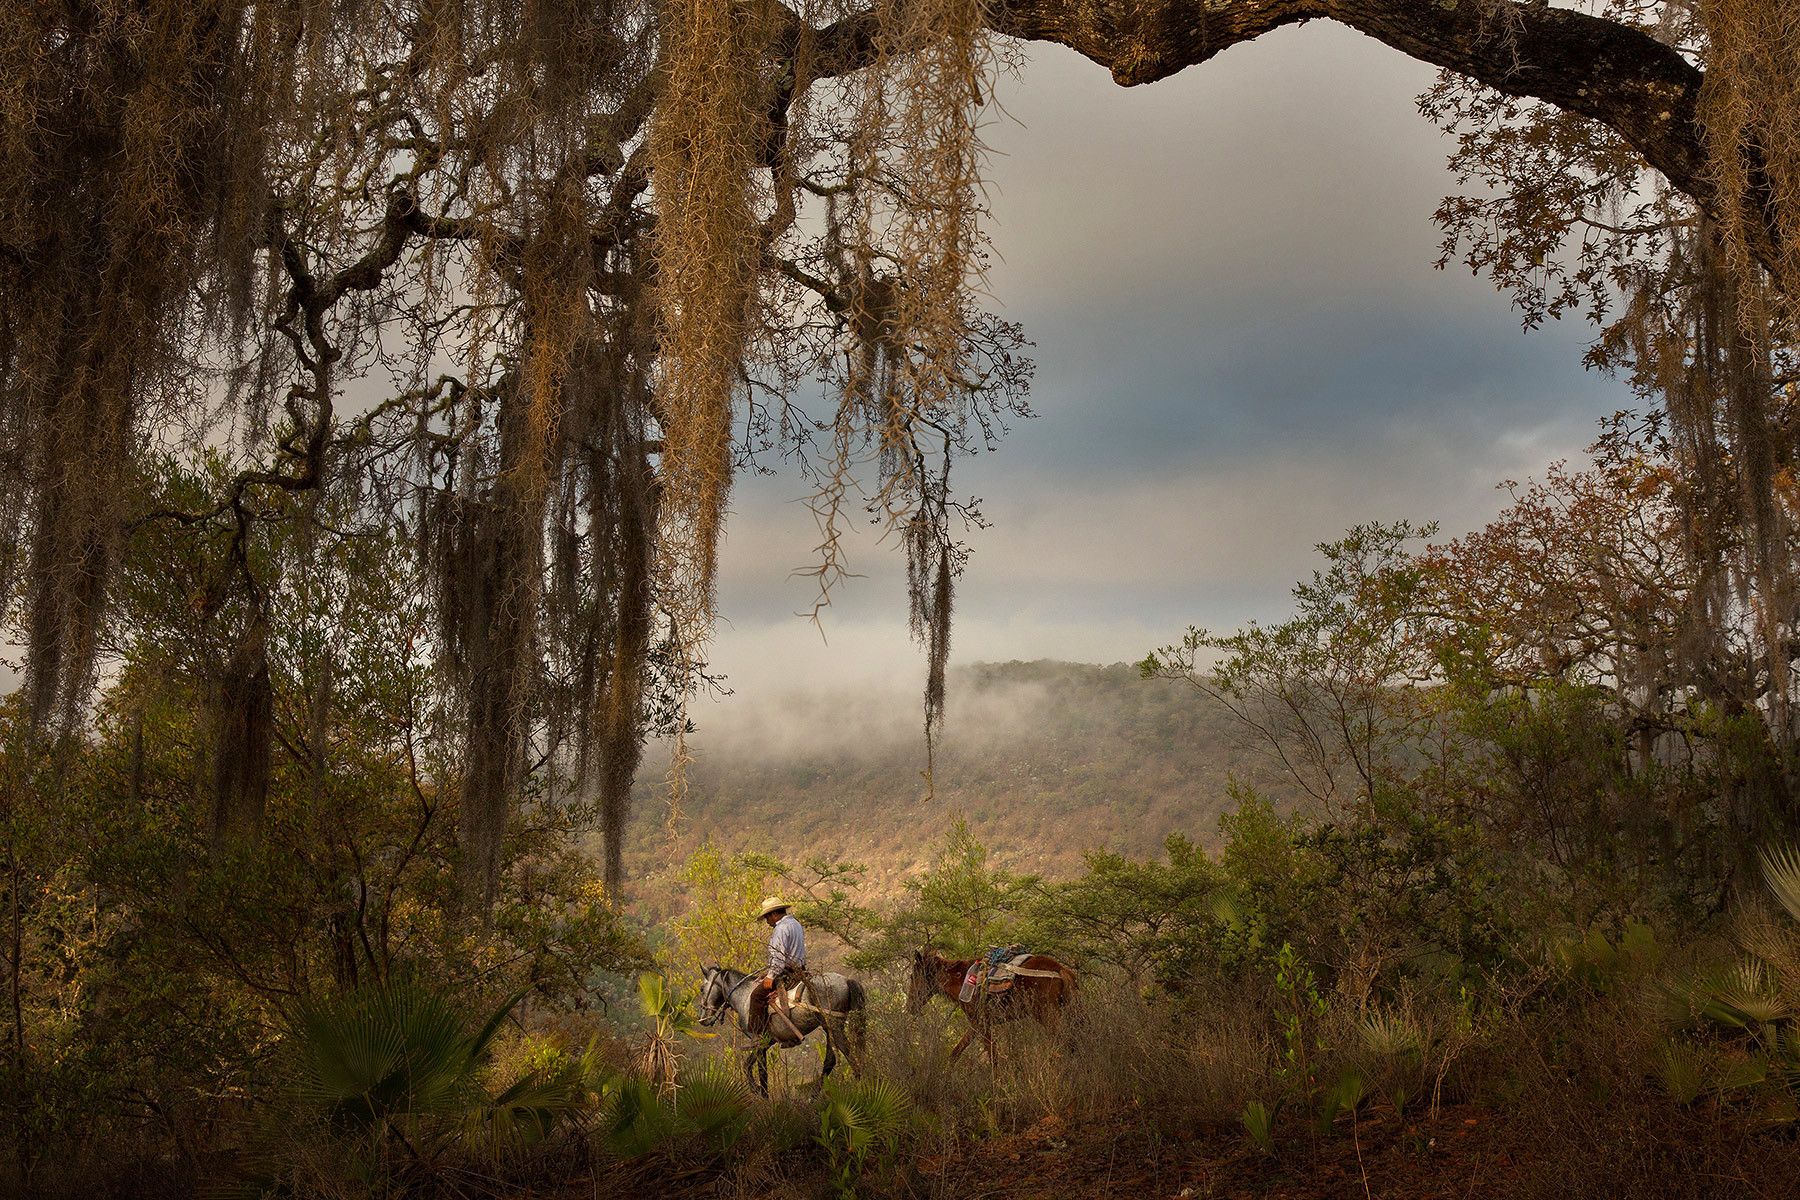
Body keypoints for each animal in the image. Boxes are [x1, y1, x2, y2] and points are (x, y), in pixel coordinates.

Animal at [698, 964, 867, 1101]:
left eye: (701, 989)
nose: (702, 1019)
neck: (743, 996)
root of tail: (846, 980)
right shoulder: (766, 1043)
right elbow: (754, 1067)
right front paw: (761, 1093)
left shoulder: (760, 1041)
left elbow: (755, 1069)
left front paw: (761, 1095)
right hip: (829, 1028)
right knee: (830, 1060)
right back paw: (813, 1097)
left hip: (834, 1025)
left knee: (849, 1054)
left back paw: (861, 1087)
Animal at [907, 942, 1072, 1065]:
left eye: (912, 976)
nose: (910, 1006)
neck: (960, 979)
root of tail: (1061, 970)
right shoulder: (978, 1024)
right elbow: (957, 1053)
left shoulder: (980, 1023)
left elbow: (993, 1057)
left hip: (1047, 1014)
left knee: (1067, 1042)